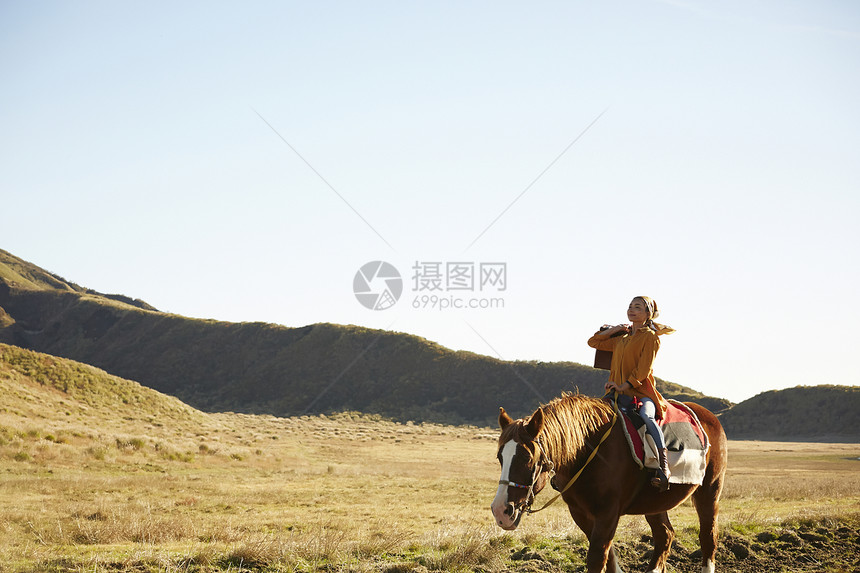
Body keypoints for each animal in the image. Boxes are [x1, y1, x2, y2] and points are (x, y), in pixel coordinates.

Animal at [490, 394, 724, 572]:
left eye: (528, 458)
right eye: (500, 457)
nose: (501, 511)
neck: (588, 451)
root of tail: (709, 416)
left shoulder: (608, 513)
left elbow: (597, 558)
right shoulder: (580, 513)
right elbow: (608, 557)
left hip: (709, 492)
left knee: (708, 536)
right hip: (655, 503)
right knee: (664, 535)